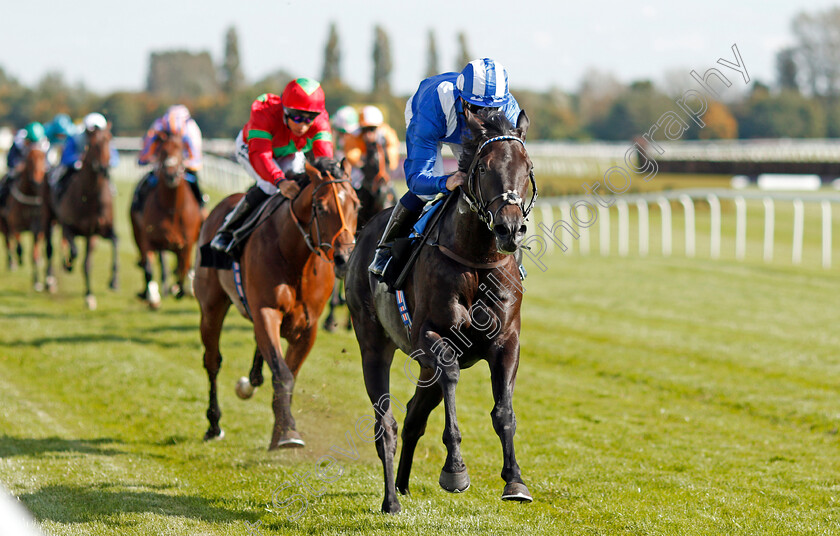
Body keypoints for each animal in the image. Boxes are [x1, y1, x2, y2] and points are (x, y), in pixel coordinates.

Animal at [0, 147, 47, 288]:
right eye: (29, 160)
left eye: (44, 158)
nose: (37, 182)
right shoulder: (14, 225)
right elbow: (19, 246)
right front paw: (19, 260)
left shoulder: (38, 229)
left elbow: (34, 255)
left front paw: (36, 281)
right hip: (3, 225)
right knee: (8, 242)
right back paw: (12, 263)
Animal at [42, 126, 117, 310]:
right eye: (94, 143)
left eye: (109, 139)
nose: (104, 168)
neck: (90, 196)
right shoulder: (69, 226)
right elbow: (74, 251)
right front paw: (68, 264)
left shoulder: (97, 232)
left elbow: (93, 260)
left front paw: (105, 286)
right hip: (48, 216)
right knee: (49, 247)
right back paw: (50, 280)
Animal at [131, 132, 203, 310]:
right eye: (162, 151)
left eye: (181, 150)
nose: (171, 174)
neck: (171, 209)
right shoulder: (148, 239)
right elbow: (149, 268)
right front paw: (153, 298)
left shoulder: (186, 243)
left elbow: (183, 268)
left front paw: (178, 290)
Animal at [197, 158, 360, 448]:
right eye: (320, 207)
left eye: (356, 204)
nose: (344, 258)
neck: (295, 257)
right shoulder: (266, 312)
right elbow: (282, 373)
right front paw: (287, 434)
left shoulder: (307, 326)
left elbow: (289, 375)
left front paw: (280, 428)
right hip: (211, 306)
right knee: (212, 361)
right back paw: (214, 424)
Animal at [346, 107, 540, 512]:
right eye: (483, 167)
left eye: (527, 165)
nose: (509, 228)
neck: (476, 258)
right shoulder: (430, 336)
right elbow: (450, 373)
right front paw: (455, 469)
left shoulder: (507, 341)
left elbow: (504, 411)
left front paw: (514, 480)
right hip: (373, 344)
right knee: (385, 423)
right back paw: (391, 500)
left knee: (413, 415)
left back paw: (403, 485)